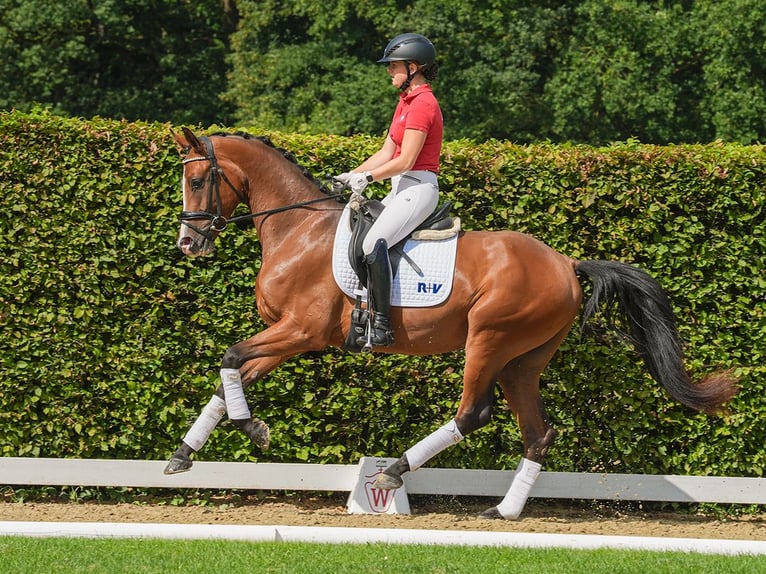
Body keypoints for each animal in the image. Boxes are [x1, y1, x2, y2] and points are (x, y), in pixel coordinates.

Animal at [165, 129, 740, 520]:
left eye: (196, 180)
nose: (188, 244)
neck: (298, 228)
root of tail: (566, 263)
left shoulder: (301, 331)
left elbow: (230, 358)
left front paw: (252, 429)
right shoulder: (287, 337)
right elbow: (229, 377)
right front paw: (183, 455)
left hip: (489, 338)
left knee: (473, 413)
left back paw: (394, 470)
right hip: (522, 360)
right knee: (537, 431)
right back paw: (504, 511)